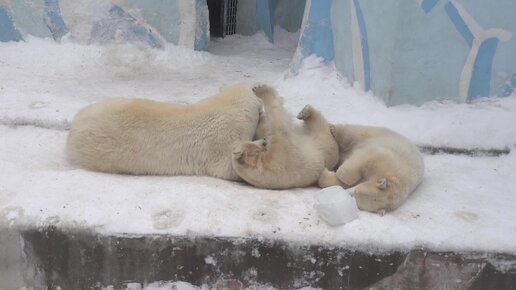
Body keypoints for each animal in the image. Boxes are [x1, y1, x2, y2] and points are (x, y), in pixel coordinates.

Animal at [66, 82, 262, 180]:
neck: (227, 104)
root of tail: (74, 127)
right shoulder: (223, 140)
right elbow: (228, 168)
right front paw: (258, 145)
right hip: (105, 149)